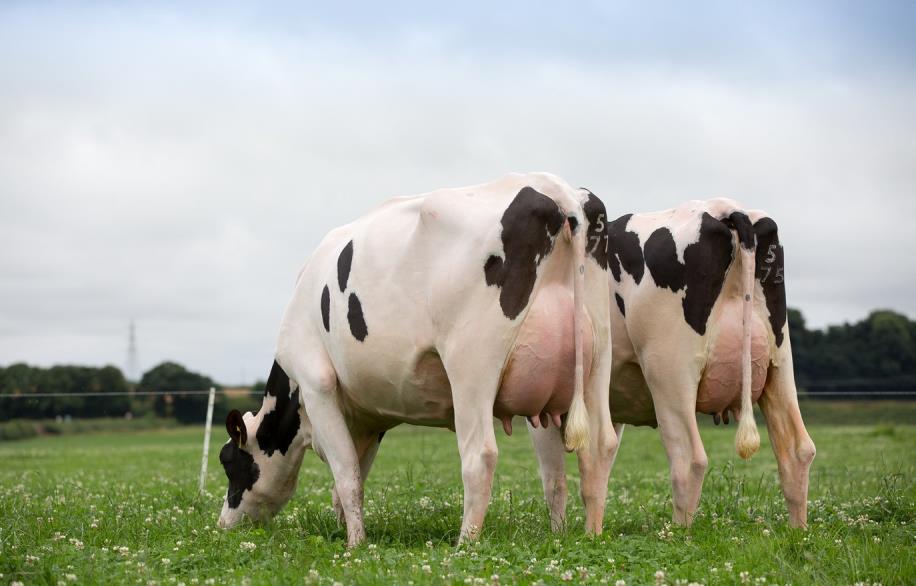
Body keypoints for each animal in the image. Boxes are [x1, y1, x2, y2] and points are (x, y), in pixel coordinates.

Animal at [216, 172, 620, 544]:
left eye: (229, 461)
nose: (222, 525)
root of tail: (556, 189)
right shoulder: (369, 418)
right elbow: (352, 478)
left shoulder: (317, 384)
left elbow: (346, 476)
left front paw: (355, 545)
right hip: (598, 358)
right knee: (598, 446)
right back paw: (592, 535)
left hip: (471, 365)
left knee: (480, 455)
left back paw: (464, 544)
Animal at [528, 198, 816, 528]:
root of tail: (726, 208)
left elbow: (555, 480)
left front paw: (559, 532)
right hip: (779, 364)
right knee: (797, 450)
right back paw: (798, 529)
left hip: (669, 372)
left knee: (690, 458)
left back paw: (677, 532)